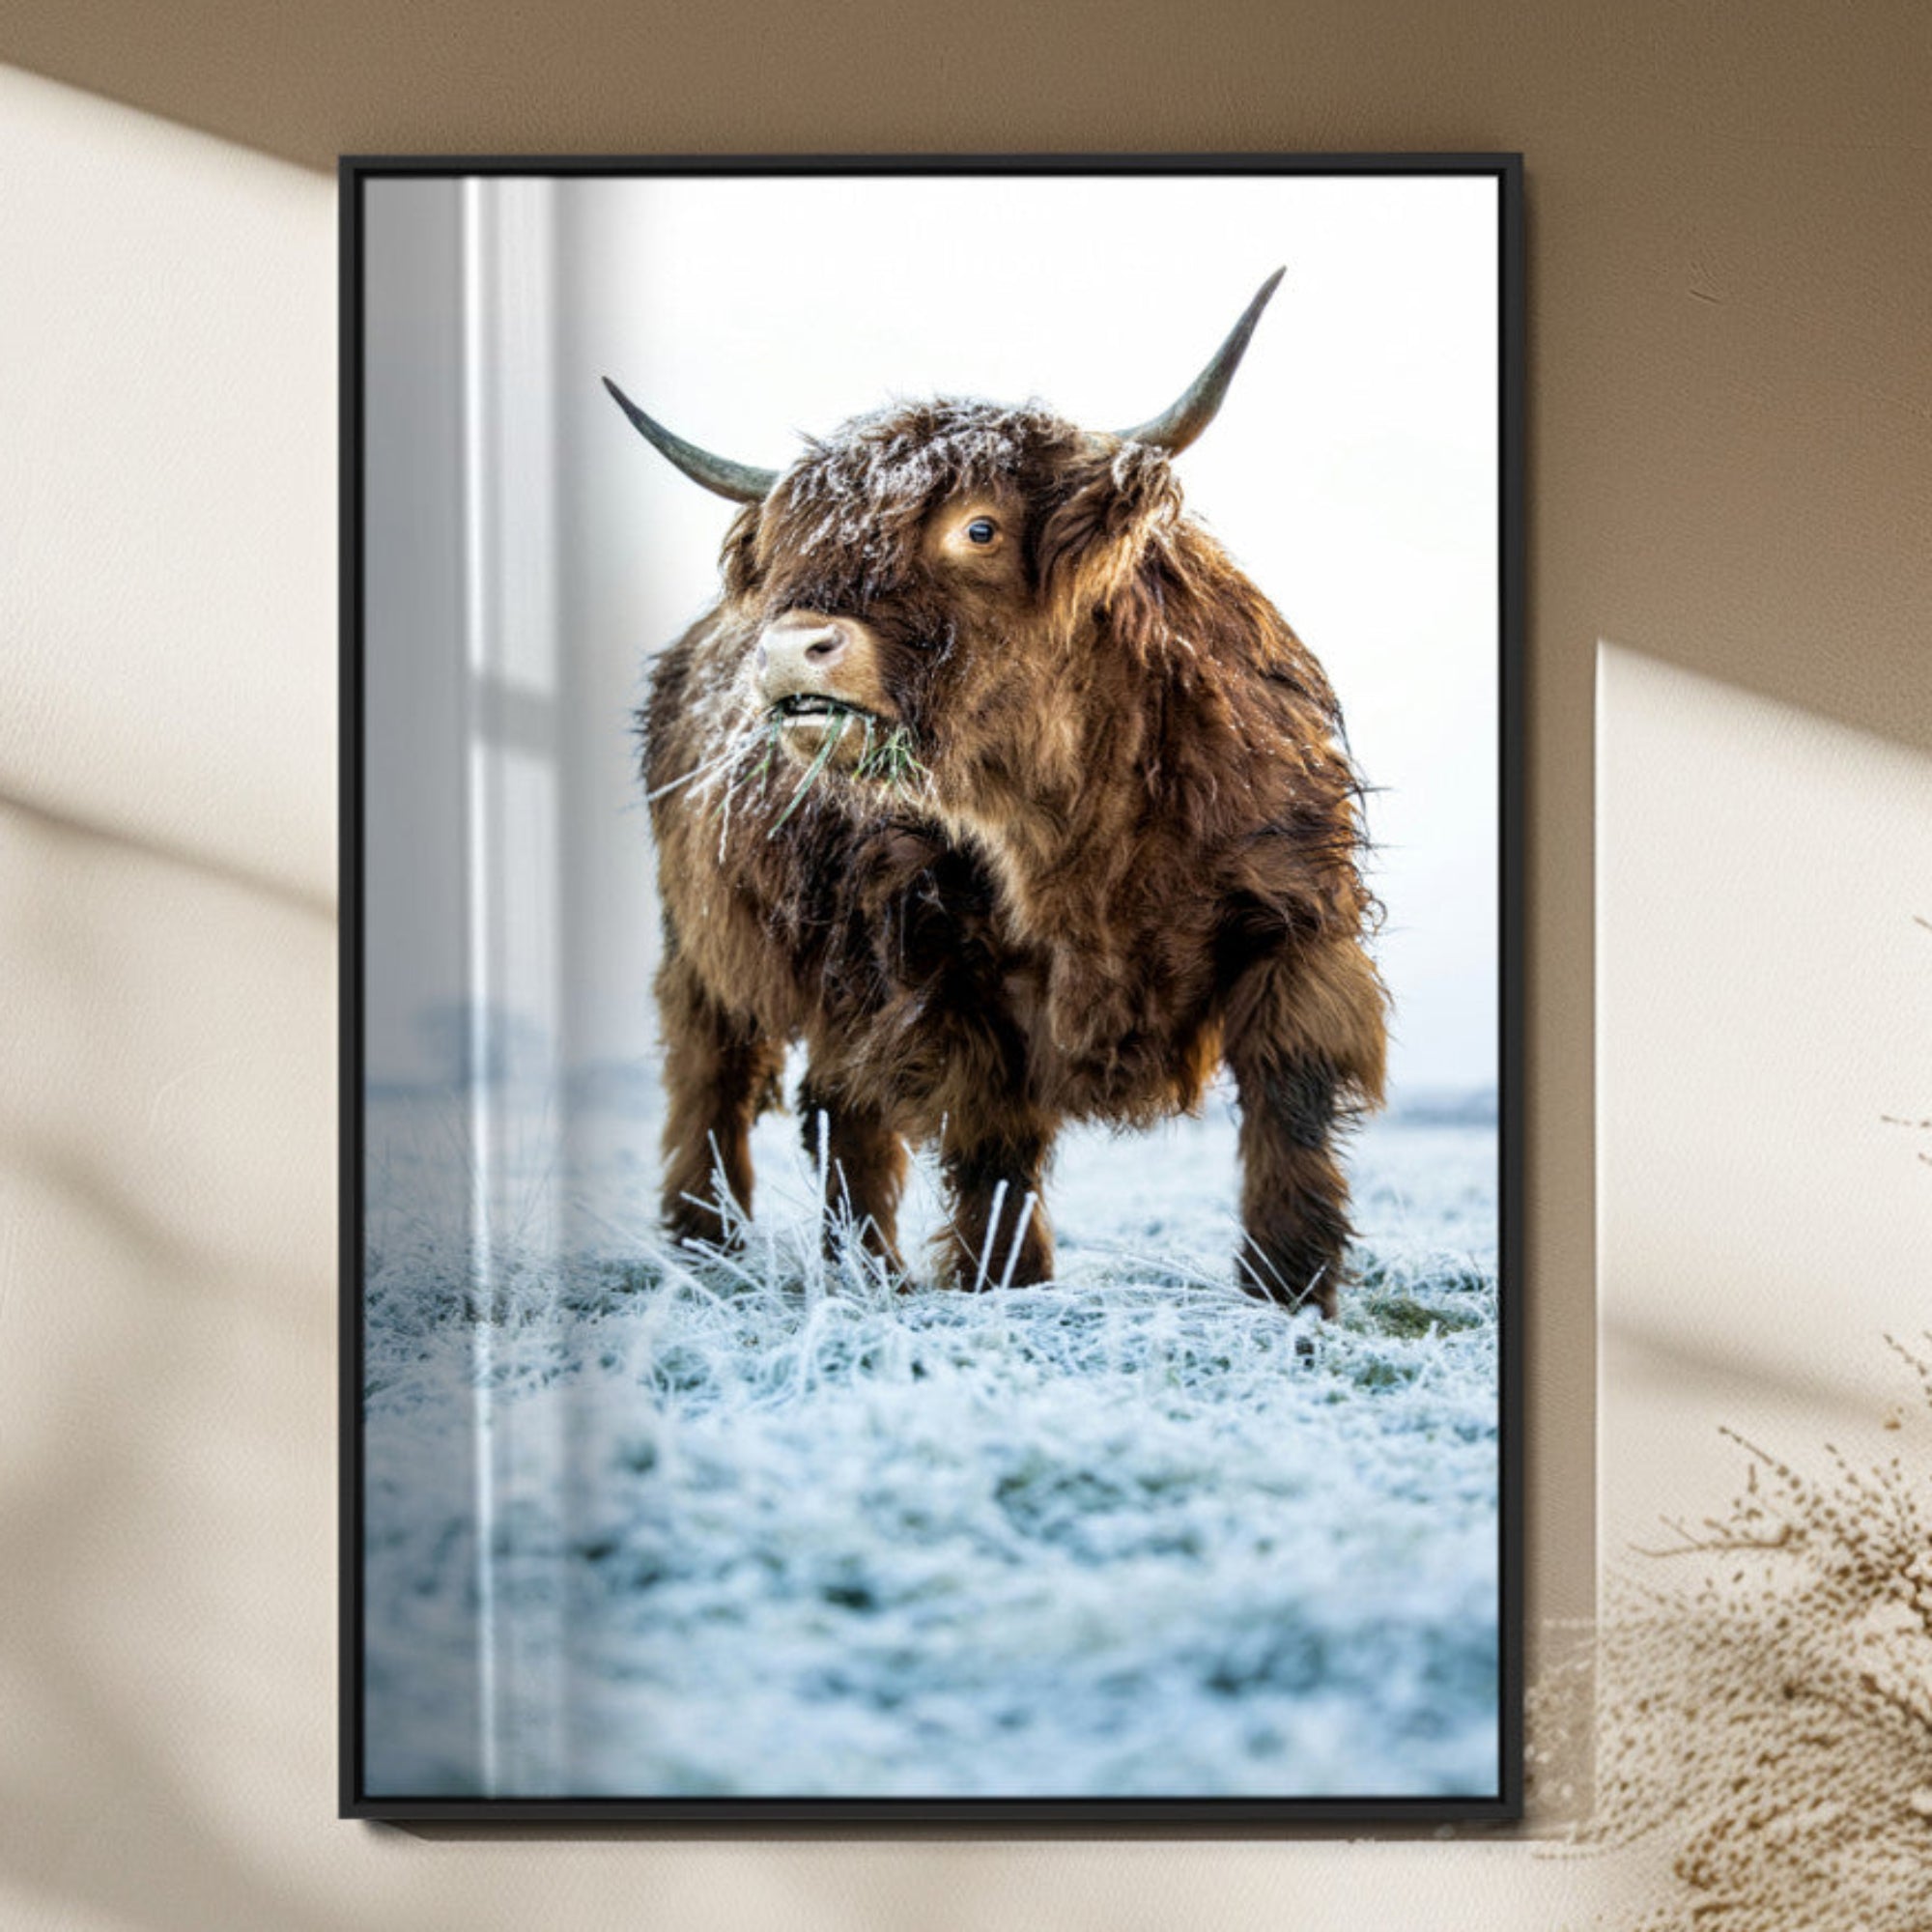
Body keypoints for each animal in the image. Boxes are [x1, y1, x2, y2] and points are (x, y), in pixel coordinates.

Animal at [606, 270, 1387, 1316]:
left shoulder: (1292, 924)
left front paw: (1290, 1290)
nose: (791, 648)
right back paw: (708, 1246)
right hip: (705, 950)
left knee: (838, 1109)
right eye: (788, 547)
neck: (1071, 832)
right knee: (716, 1081)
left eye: (978, 528)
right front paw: (1005, 1281)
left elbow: (1290, 1103)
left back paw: (864, 1270)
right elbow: (994, 1141)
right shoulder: (938, 971)